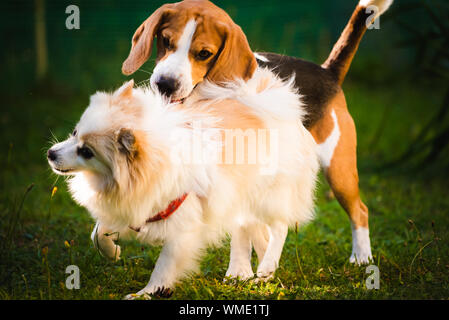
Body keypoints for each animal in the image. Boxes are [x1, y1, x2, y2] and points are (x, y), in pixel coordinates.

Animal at [46, 68, 318, 300]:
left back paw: (267, 266)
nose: (50, 153)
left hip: (267, 195)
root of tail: (267, 102)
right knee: (251, 230)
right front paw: (112, 252)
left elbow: (163, 267)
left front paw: (146, 293)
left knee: (280, 227)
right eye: (74, 133)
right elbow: (98, 232)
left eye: (87, 152)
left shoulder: (182, 228)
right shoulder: (132, 209)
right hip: (240, 199)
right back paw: (260, 274)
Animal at [121, 0, 392, 270]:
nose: (165, 84)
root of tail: (328, 72)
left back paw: (361, 256)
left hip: (338, 170)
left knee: (360, 211)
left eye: (204, 54)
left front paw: (237, 271)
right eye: (166, 40)